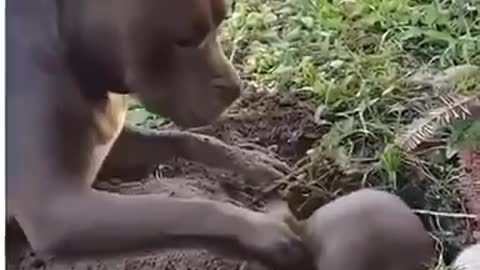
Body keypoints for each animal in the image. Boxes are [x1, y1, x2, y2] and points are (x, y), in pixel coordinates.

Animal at [7, 1, 314, 268]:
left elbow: (185, 139)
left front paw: (251, 162)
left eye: (221, 22)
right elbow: (186, 207)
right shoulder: (58, 209)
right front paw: (260, 227)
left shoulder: (111, 145)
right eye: (185, 40)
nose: (236, 89)